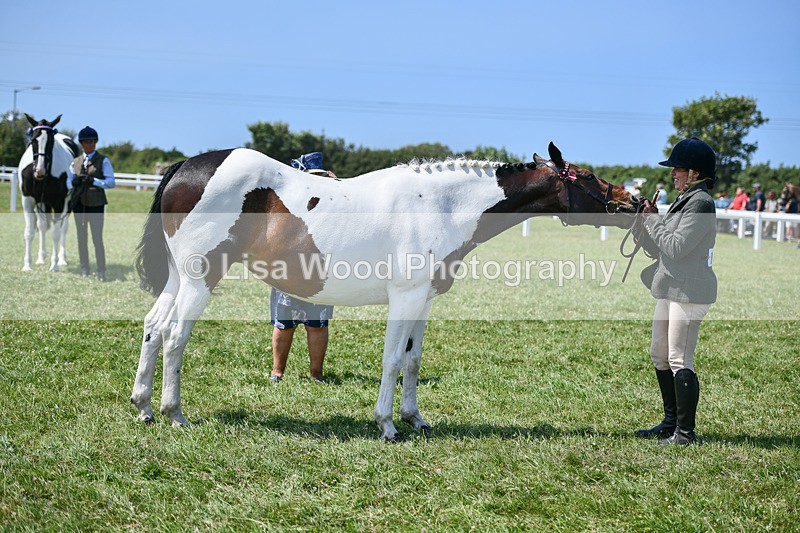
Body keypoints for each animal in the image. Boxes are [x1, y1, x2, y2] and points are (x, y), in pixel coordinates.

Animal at [18, 114, 80, 271]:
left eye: (51, 141)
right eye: (33, 140)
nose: (40, 171)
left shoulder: (59, 202)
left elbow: (56, 233)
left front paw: (55, 265)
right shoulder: (28, 200)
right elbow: (29, 232)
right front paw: (27, 266)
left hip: (67, 202)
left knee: (63, 228)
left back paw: (62, 259)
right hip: (42, 202)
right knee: (42, 226)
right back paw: (41, 258)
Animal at [131, 142, 641, 440]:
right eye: (588, 177)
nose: (634, 200)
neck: (441, 204)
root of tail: (186, 166)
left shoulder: (424, 300)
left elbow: (413, 360)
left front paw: (416, 418)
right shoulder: (405, 296)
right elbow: (393, 359)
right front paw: (388, 424)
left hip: (178, 279)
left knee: (154, 327)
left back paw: (144, 407)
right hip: (200, 280)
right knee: (175, 338)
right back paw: (174, 413)